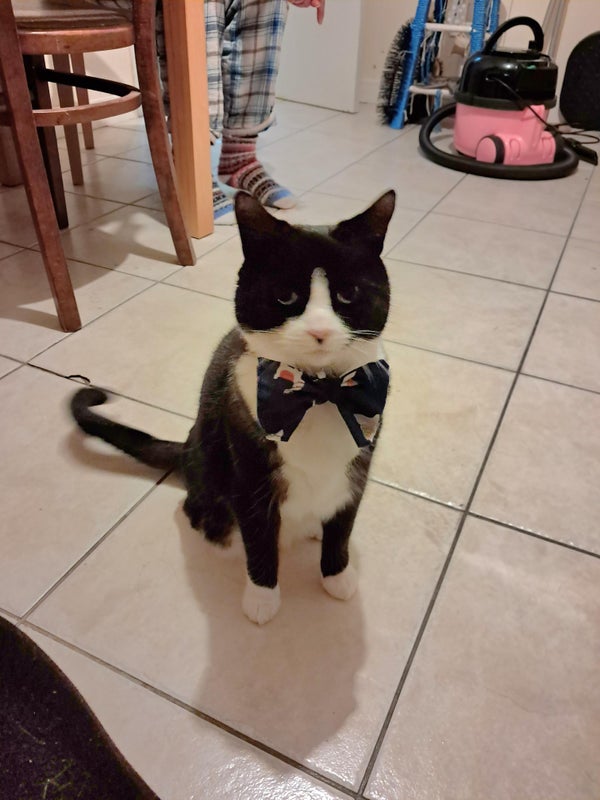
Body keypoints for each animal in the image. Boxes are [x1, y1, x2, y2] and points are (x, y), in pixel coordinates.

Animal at [71, 189, 396, 624]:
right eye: (286, 296)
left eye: (348, 294)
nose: (319, 331)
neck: (317, 390)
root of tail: (186, 447)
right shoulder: (250, 471)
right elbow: (259, 538)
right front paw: (262, 597)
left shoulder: (357, 467)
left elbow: (342, 527)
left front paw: (337, 575)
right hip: (210, 462)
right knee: (195, 506)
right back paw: (218, 528)